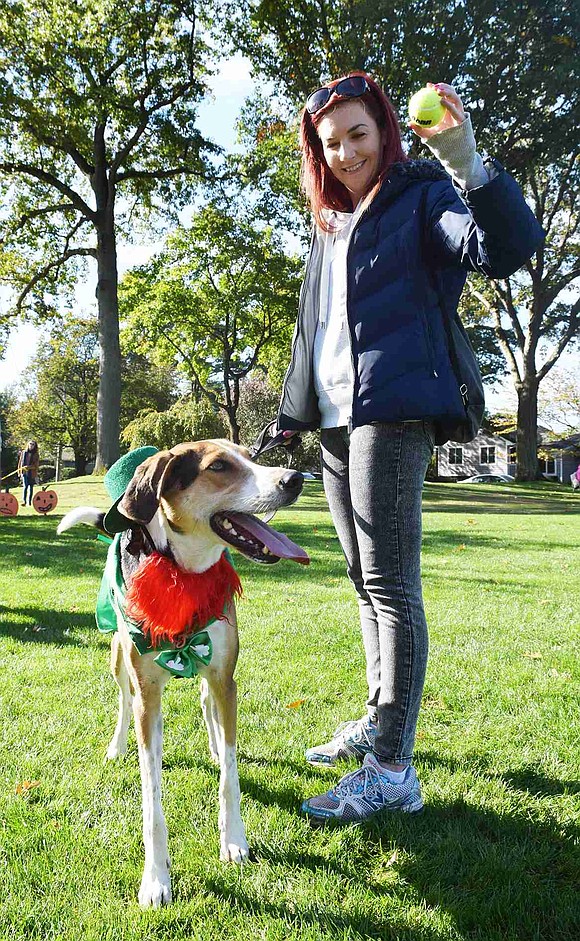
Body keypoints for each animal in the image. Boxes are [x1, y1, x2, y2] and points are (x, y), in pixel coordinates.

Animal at [57, 444, 308, 908]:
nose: (295, 478)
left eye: (250, 456)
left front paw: (234, 841)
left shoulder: (226, 675)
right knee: (122, 700)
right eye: (219, 466)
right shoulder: (147, 695)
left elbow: (230, 774)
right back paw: (117, 746)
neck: (185, 574)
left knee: (207, 704)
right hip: (118, 658)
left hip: (214, 672)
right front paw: (156, 879)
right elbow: (151, 800)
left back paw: (212, 745)